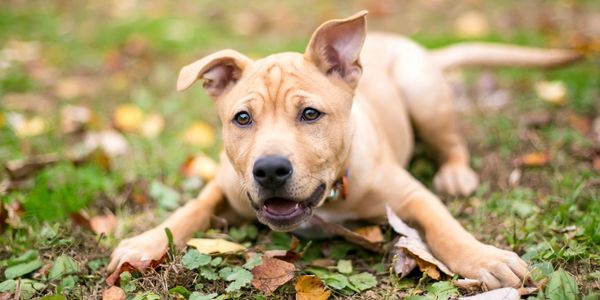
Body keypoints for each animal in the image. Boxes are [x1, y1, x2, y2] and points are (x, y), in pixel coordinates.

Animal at [109, 10, 580, 290]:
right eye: (242, 118)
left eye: (310, 114)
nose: (270, 170)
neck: (329, 199)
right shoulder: (227, 185)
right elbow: (191, 207)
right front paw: (145, 242)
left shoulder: (411, 194)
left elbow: (445, 227)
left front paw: (483, 258)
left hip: (424, 95)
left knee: (452, 142)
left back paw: (456, 173)